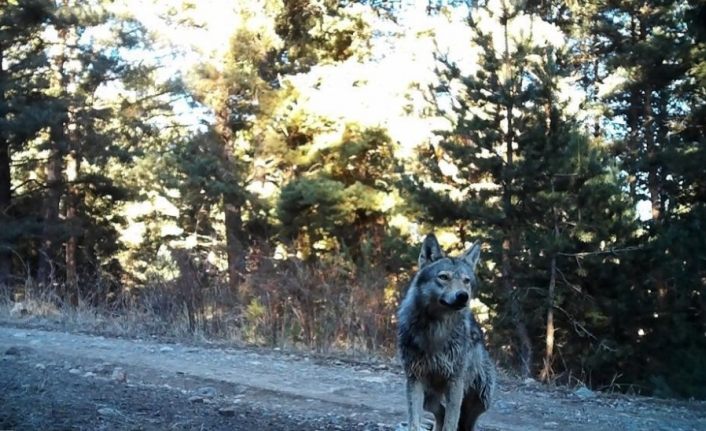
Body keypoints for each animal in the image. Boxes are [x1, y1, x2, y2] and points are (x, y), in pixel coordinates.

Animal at [396, 235, 496, 431]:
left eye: (466, 280)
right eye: (443, 277)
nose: (463, 296)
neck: (436, 329)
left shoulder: (455, 382)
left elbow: (451, 422)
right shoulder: (414, 379)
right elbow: (414, 421)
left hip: (481, 399)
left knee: (464, 423)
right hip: (429, 397)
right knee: (439, 413)